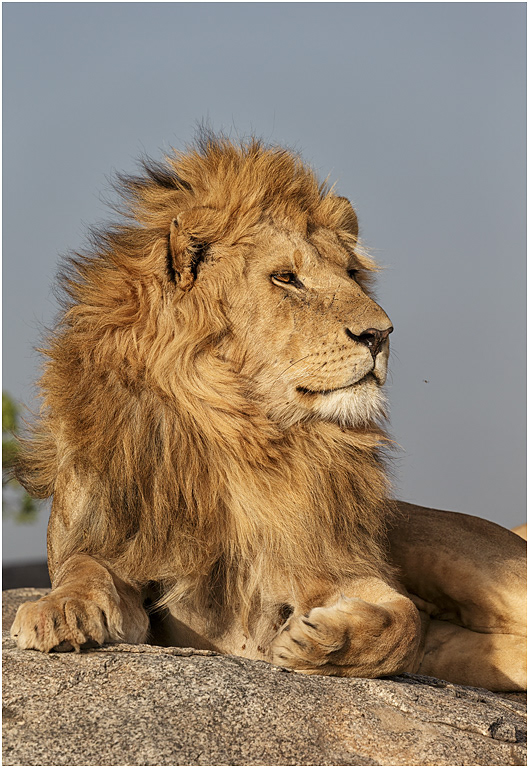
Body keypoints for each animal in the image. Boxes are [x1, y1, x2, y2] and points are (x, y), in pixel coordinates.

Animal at [11, 133, 526, 692]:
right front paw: (59, 612)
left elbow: (404, 620)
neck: (248, 432)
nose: (380, 334)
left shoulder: (335, 567)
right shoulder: (117, 552)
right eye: (286, 278)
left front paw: (324, 643)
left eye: (351, 273)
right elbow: (85, 569)